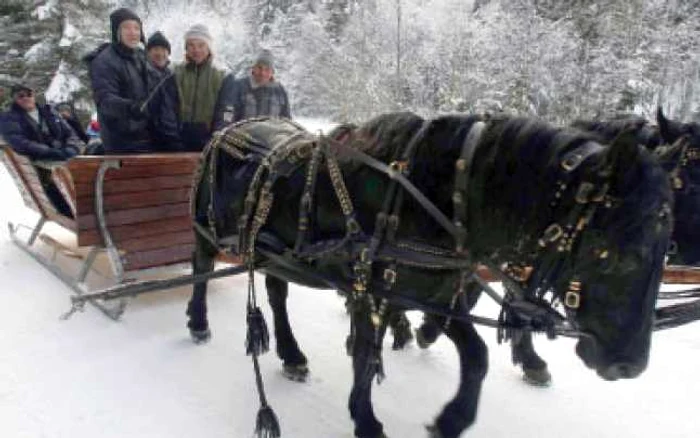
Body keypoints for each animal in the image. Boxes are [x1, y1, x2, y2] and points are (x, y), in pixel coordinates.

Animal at [187, 114, 672, 438]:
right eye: (623, 256)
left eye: (665, 252)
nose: (630, 365)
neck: (440, 199)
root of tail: (227, 128)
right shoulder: (369, 291)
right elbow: (365, 356)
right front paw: (366, 421)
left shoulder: (433, 292)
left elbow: (476, 355)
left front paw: (451, 420)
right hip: (207, 229)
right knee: (201, 268)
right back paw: (198, 321)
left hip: (279, 255)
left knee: (276, 292)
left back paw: (291, 354)